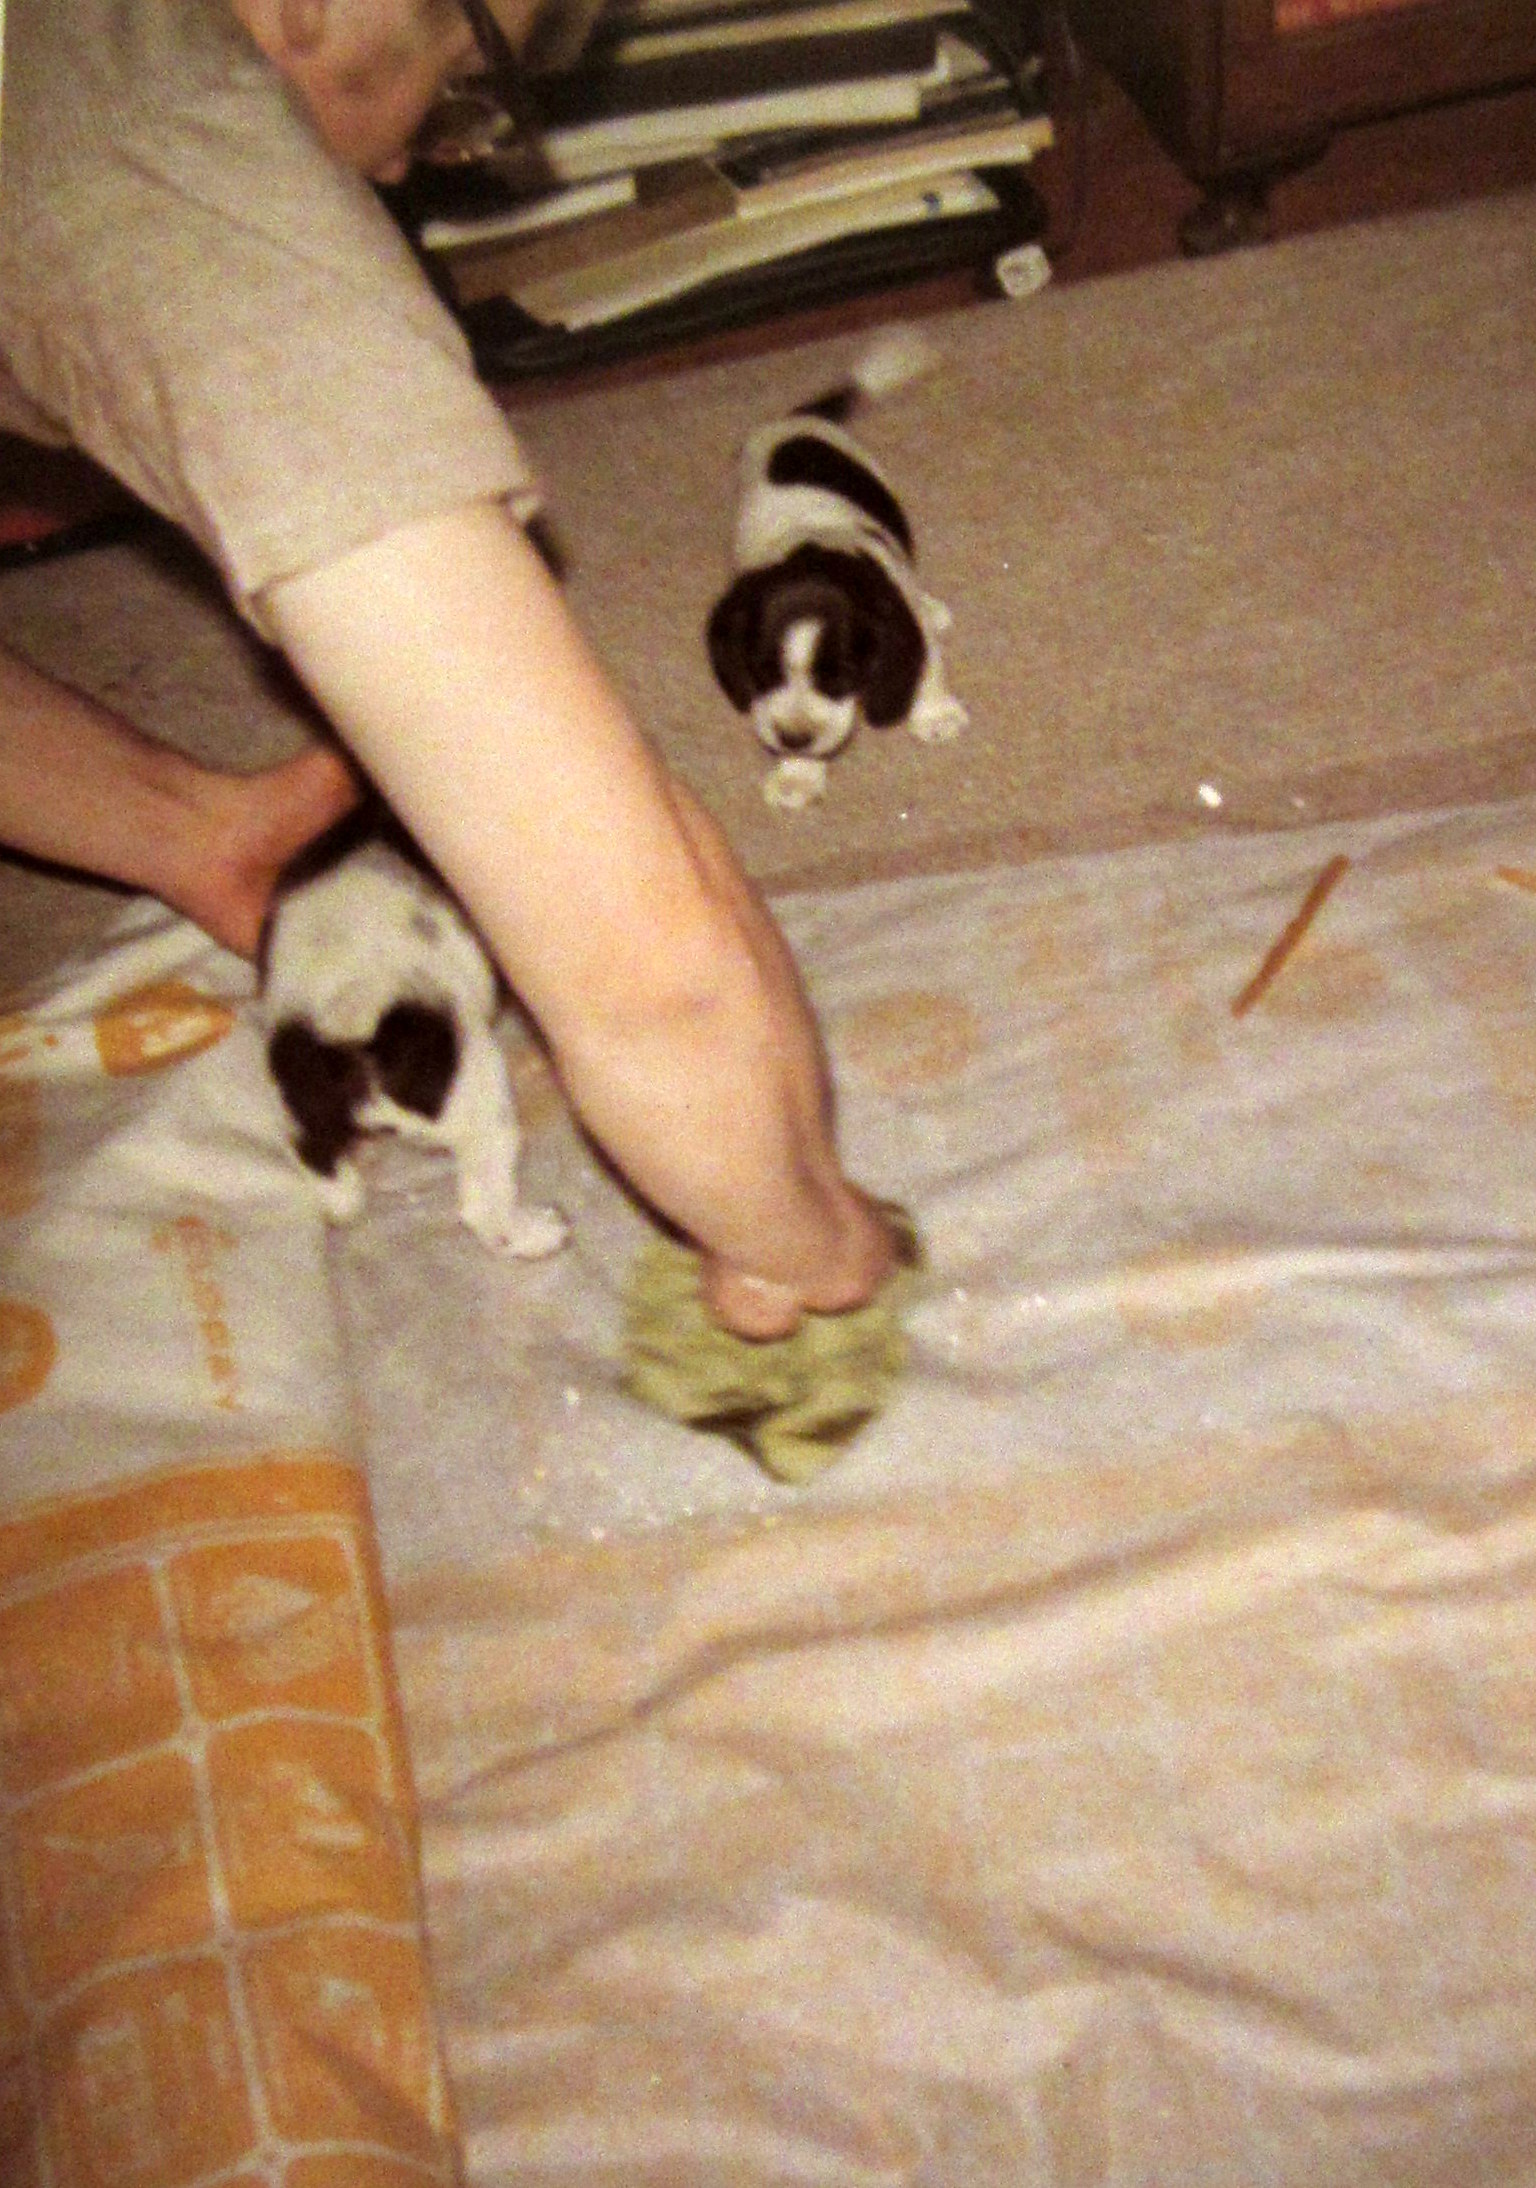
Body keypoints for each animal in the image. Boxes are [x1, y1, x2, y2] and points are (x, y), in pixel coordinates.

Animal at [257, 793, 568, 1258]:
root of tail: (356, 1024)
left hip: (299, 1108)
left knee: (329, 1177)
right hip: (483, 1101)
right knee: (485, 1210)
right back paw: (539, 1232)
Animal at [706, 327, 968, 810]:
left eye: (840, 677)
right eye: (763, 672)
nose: (794, 741)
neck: (815, 554)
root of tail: (797, 420)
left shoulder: (897, 607)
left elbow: (927, 665)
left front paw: (935, 715)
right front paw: (797, 774)